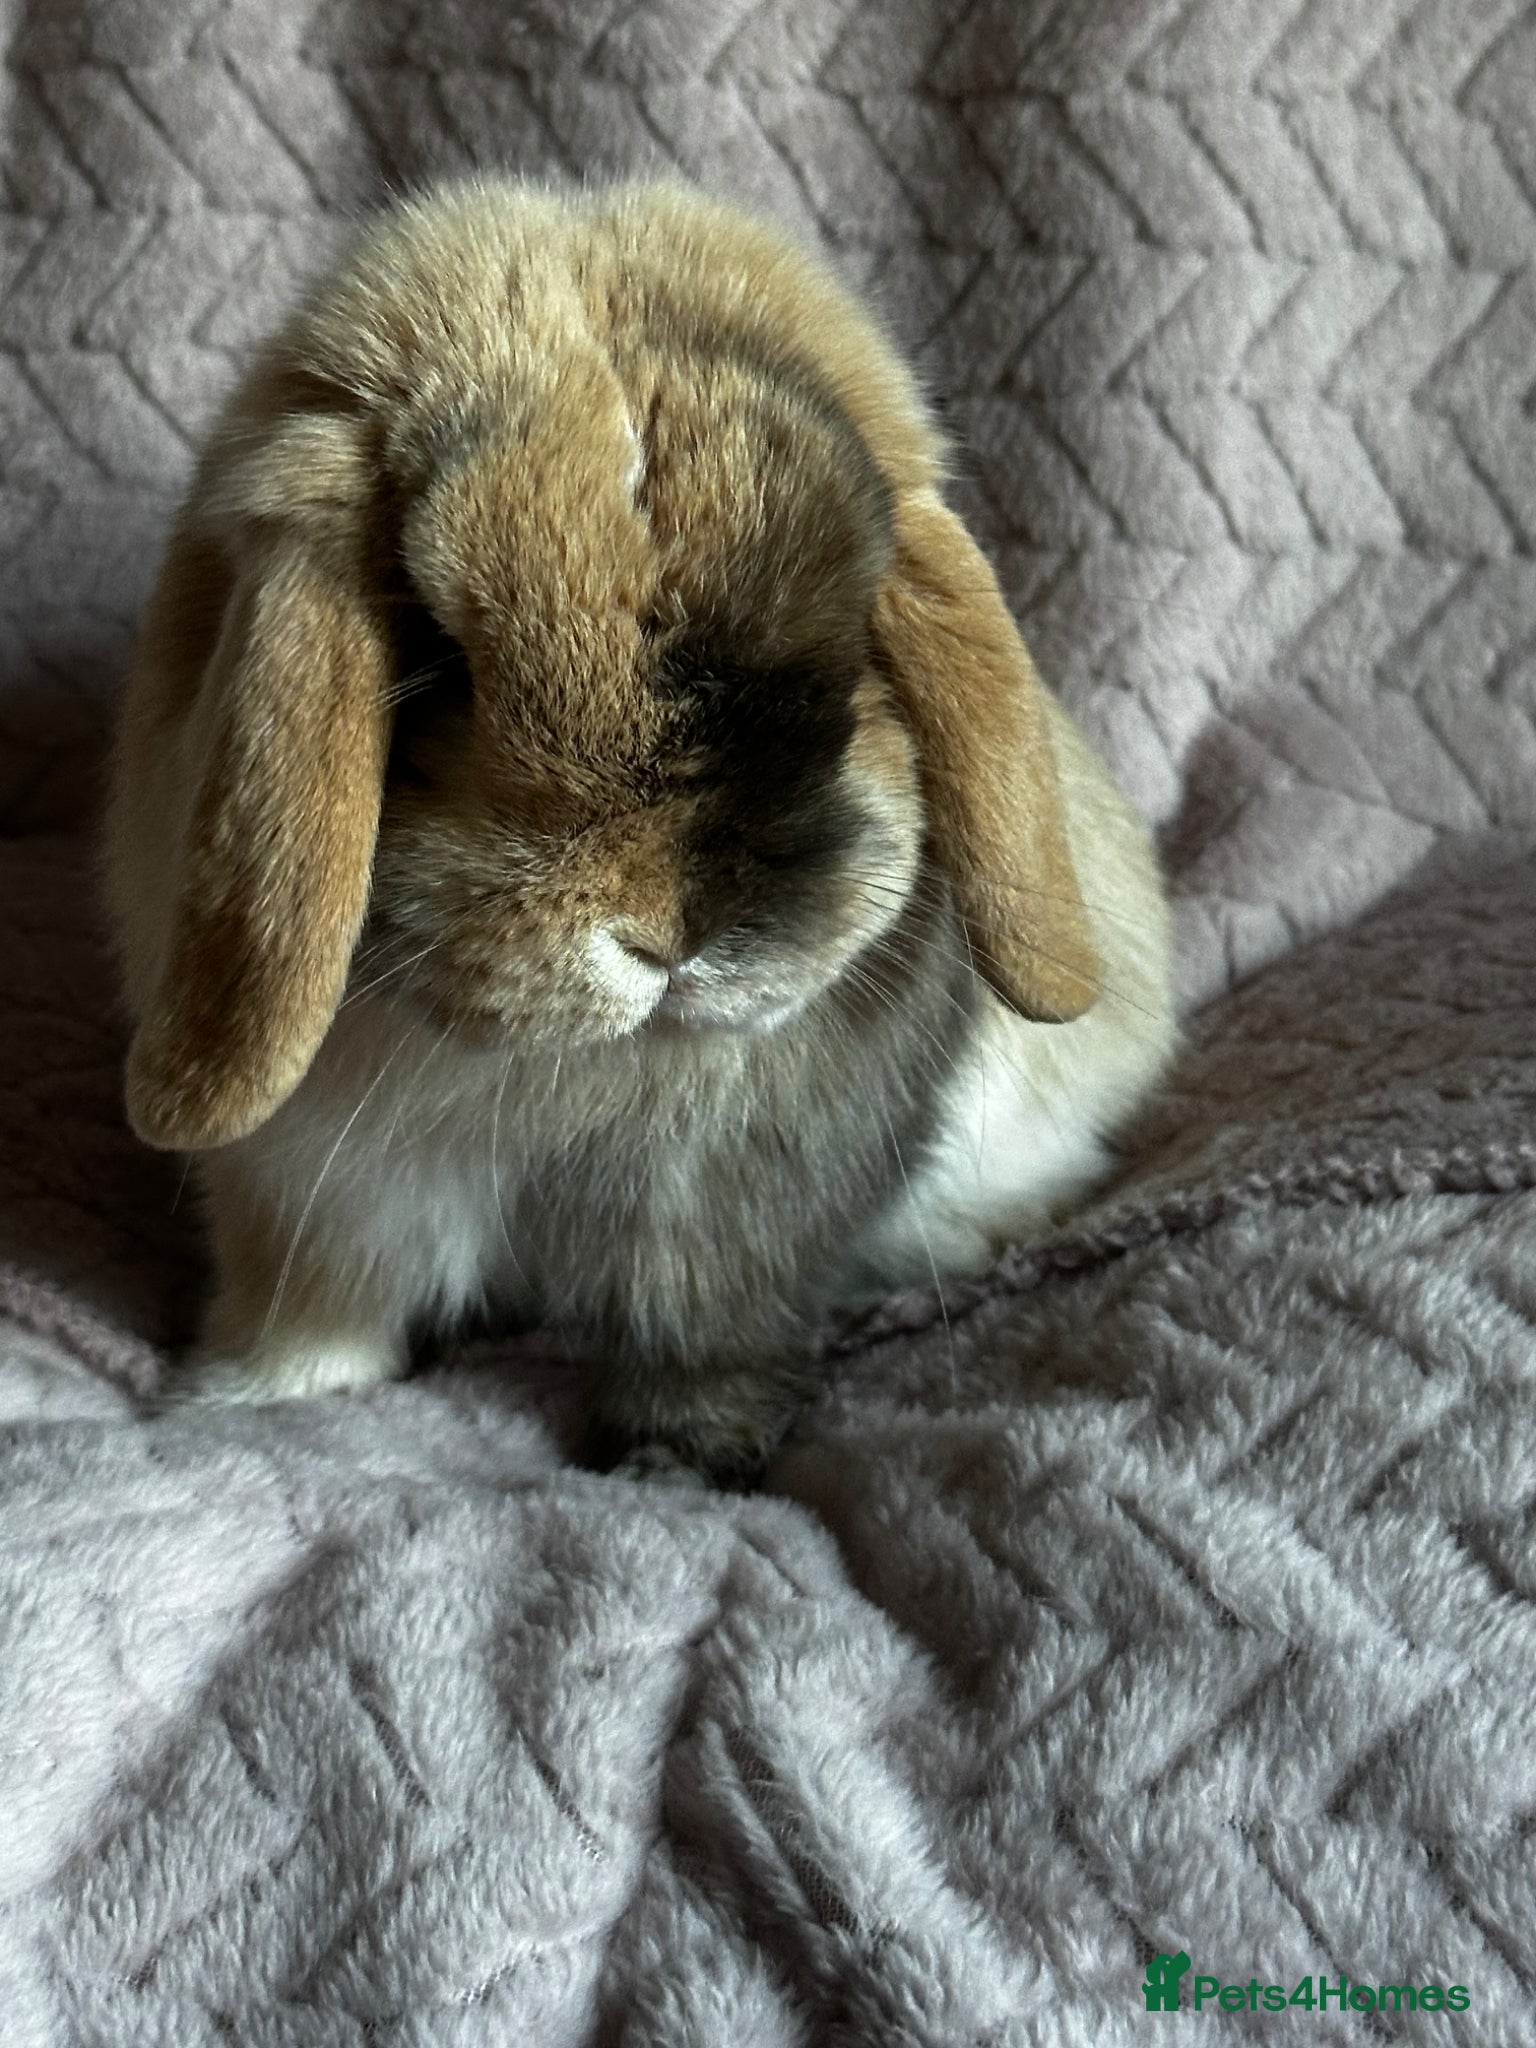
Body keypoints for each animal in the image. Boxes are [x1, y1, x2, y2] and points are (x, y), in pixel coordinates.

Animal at [104, 175, 1177, 1485]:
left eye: (845, 669)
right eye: (438, 661)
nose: (676, 936)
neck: (577, 1074)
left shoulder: (739, 1202)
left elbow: (708, 1323)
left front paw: (680, 1463)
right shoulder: (319, 1191)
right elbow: (315, 1305)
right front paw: (240, 1401)